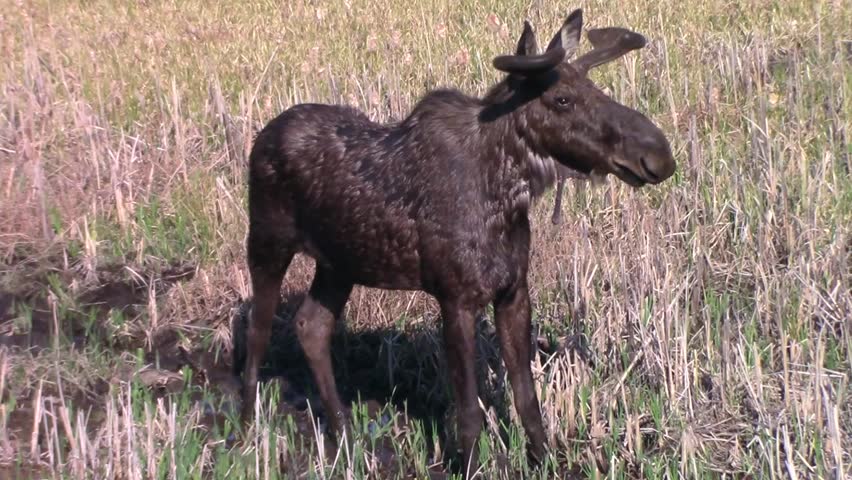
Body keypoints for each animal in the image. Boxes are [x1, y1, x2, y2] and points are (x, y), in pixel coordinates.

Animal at [237, 8, 675, 477]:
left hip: (339, 263)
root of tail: (262, 136)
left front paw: (543, 461)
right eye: (562, 100)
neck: (505, 195)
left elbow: (527, 400)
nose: (658, 154)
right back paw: (246, 427)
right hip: (268, 241)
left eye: (594, 87)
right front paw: (468, 465)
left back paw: (345, 437)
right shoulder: (456, 297)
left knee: (312, 325)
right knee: (259, 329)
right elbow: (469, 413)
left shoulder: (513, 291)